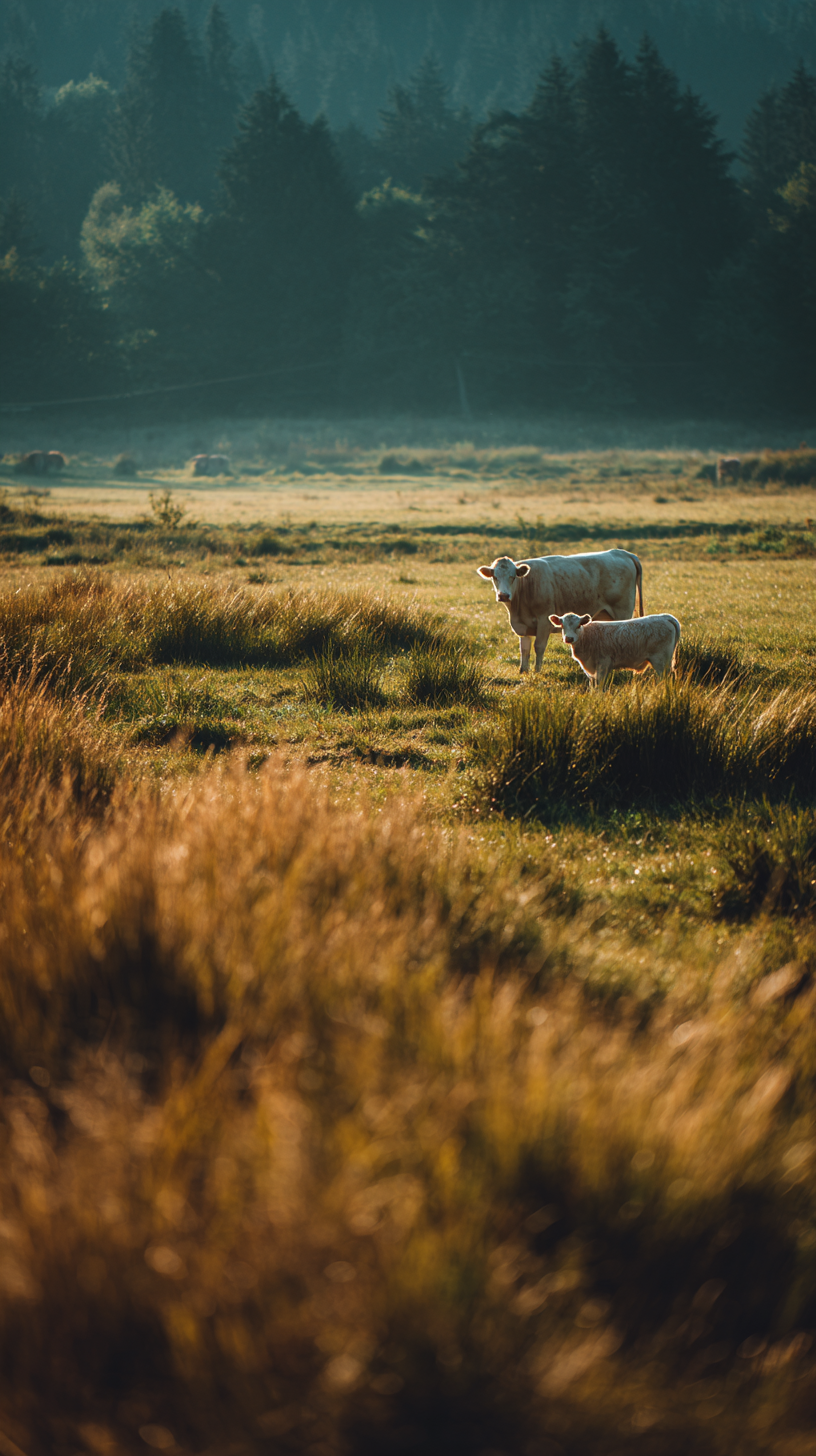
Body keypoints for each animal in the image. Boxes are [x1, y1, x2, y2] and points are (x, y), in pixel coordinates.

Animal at [476, 549, 644, 674]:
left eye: (513, 577)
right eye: (495, 577)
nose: (503, 595)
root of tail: (622, 553)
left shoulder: (544, 620)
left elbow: (539, 646)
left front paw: (537, 671)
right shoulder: (522, 625)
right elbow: (524, 648)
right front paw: (523, 671)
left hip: (622, 612)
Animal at [548, 611, 681, 689]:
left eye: (578, 625)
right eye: (562, 626)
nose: (569, 638)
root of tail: (665, 616)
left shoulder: (603, 664)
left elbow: (599, 685)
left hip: (661, 662)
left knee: (666, 678)